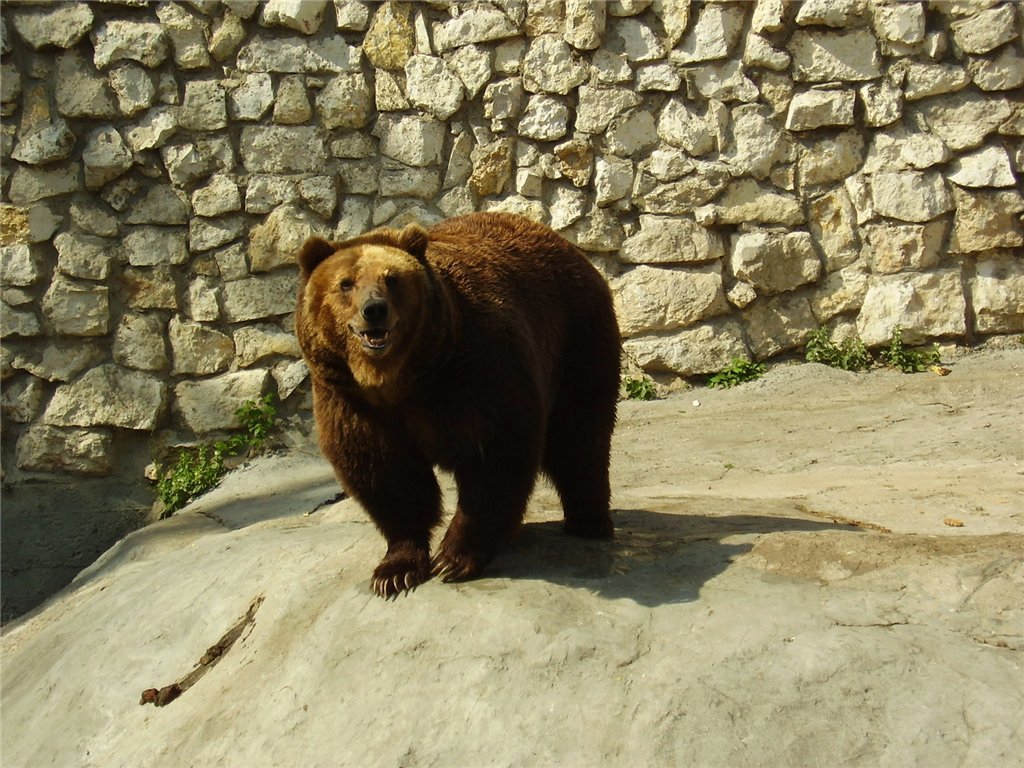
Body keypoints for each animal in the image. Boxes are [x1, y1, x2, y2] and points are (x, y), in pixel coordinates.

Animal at [295, 212, 621, 598]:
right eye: (346, 283)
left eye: (392, 279)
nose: (373, 310)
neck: (399, 379)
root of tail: (567, 245)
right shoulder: (352, 400)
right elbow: (385, 472)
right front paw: (395, 571)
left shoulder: (474, 370)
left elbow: (495, 455)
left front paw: (453, 559)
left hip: (577, 337)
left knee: (580, 435)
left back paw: (590, 521)